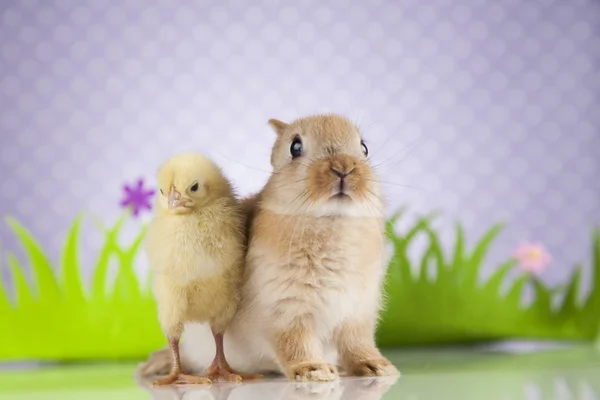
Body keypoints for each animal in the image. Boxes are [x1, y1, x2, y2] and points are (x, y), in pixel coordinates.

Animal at [137, 112, 398, 382]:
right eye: (295, 147)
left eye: (364, 148)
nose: (343, 168)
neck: (332, 220)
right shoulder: (286, 313)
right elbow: (295, 344)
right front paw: (314, 370)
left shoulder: (356, 314)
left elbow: (357, 345)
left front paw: (377, 366)